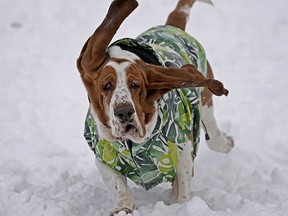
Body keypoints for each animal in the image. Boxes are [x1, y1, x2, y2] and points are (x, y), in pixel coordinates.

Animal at [76, 0, 234, 214]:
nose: (124, 112)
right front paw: (123, 207)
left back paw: (225, 143)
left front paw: (179, 205)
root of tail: (172, 26)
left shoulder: (183, 146)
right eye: (106, 86)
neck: (135, 143)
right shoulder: (104, 155)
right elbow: (117, 183)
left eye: (135, 85)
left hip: (205, 104)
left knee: (212, 132)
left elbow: (183, 181)